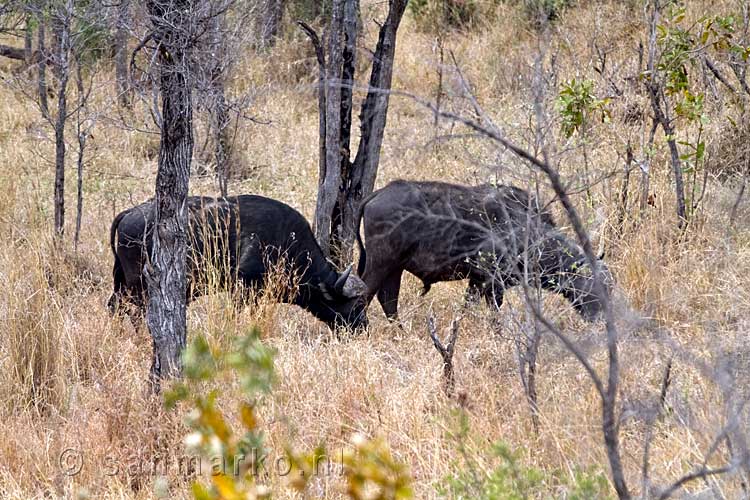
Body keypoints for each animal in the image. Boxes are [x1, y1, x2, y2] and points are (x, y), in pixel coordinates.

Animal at [109, 196, 370, 332]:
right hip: (137, 286)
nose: (363, 327)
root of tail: (130, 213)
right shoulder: (243, 291)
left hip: (122, 283)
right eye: (356, 305)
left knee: (115, 306)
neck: (287, 243)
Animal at [356, 180, 612, 320]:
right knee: (366, 293)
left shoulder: (476, 282)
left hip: (395, 267)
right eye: (602, 286)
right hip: (381, 263)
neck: (525, 228)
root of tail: (378, 193)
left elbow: (467, 307)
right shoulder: (492, 283)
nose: (605, 318)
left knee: (388, 299)